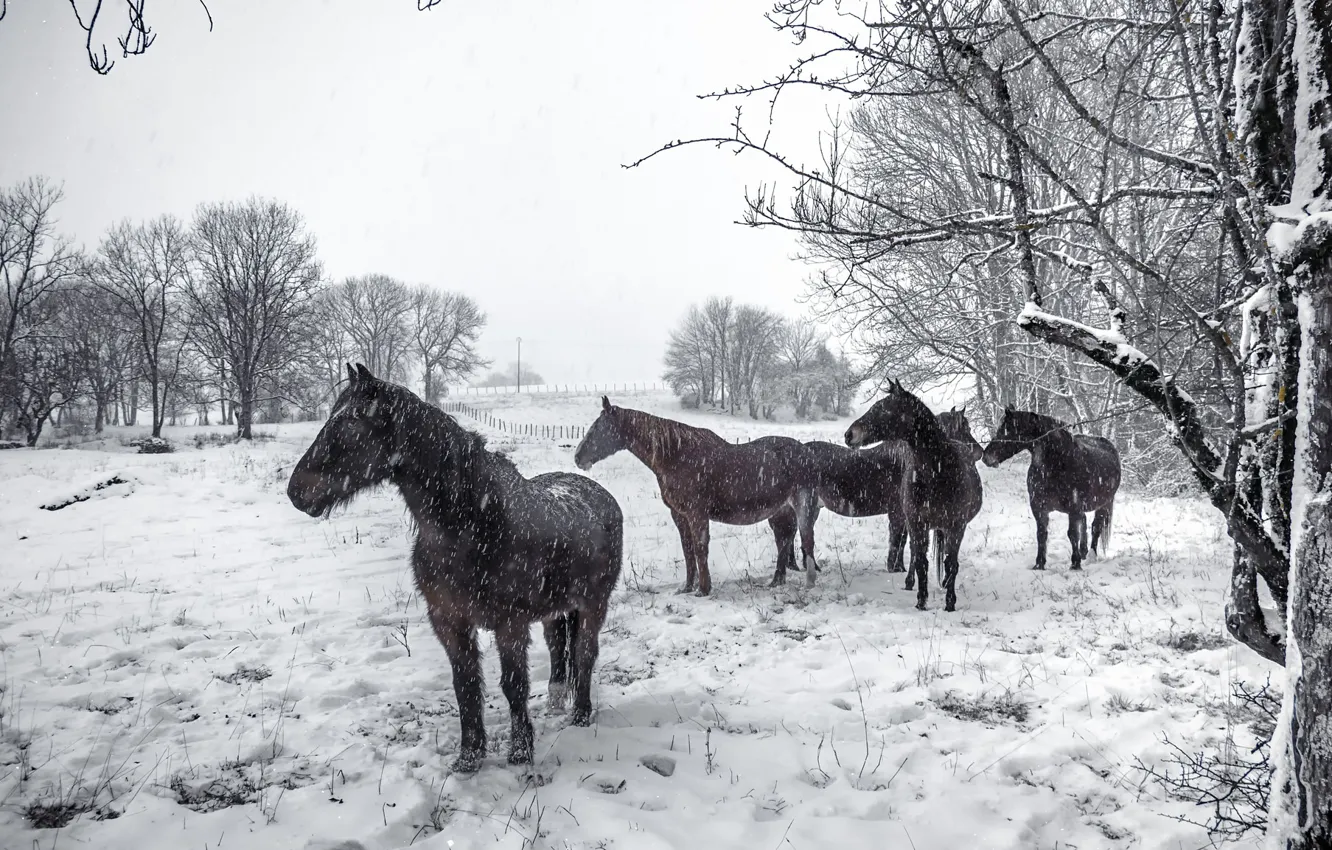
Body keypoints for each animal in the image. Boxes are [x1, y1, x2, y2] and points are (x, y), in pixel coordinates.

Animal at [287, 364, 623, 774]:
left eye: (351, 422)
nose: (297, 491)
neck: (472, 522)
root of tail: (599, 494)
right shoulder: (449, 621)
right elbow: (465, 685)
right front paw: (469, 757)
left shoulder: (509, 624)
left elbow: (513, 685)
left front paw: (520, 753)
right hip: (555, 609)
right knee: (559, 646)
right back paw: (557, 700)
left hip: (593, 605)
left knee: (585, 654)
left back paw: (580, 714)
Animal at [573, 397, 815, 596]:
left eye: (599, 428)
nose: (578, 457)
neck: (678, 457)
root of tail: (806, 452)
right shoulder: (679, 515)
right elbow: (687, 549)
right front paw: (687, 587)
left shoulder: (696, 514)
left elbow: (700, 548)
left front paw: (703, 589)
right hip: (781, 511)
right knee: (783, 541)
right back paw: (776, 581)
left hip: (801, 505)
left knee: (805, 539)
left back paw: (809, 582)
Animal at [845, 382, 984, 611]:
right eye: (966, 428)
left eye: (883, 409)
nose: (849, 434)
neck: (937, 471)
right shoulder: (917, 523)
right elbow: (920, 561)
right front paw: (921, 600)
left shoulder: (956, 526)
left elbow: (951, 564)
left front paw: (950, 603)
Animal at [981, 406, 1120, 571]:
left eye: (1008, 430)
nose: (986, 456)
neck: (1056, 463)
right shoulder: (1039, 507)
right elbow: (1042, 534)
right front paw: (1039, 564)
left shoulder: (1073, 508)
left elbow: (1072, 534)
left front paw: (1075, 564)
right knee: (1085, 522)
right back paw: (1084, 552)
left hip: (1104, 504)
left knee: (1095, 528)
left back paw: (1091, 556)